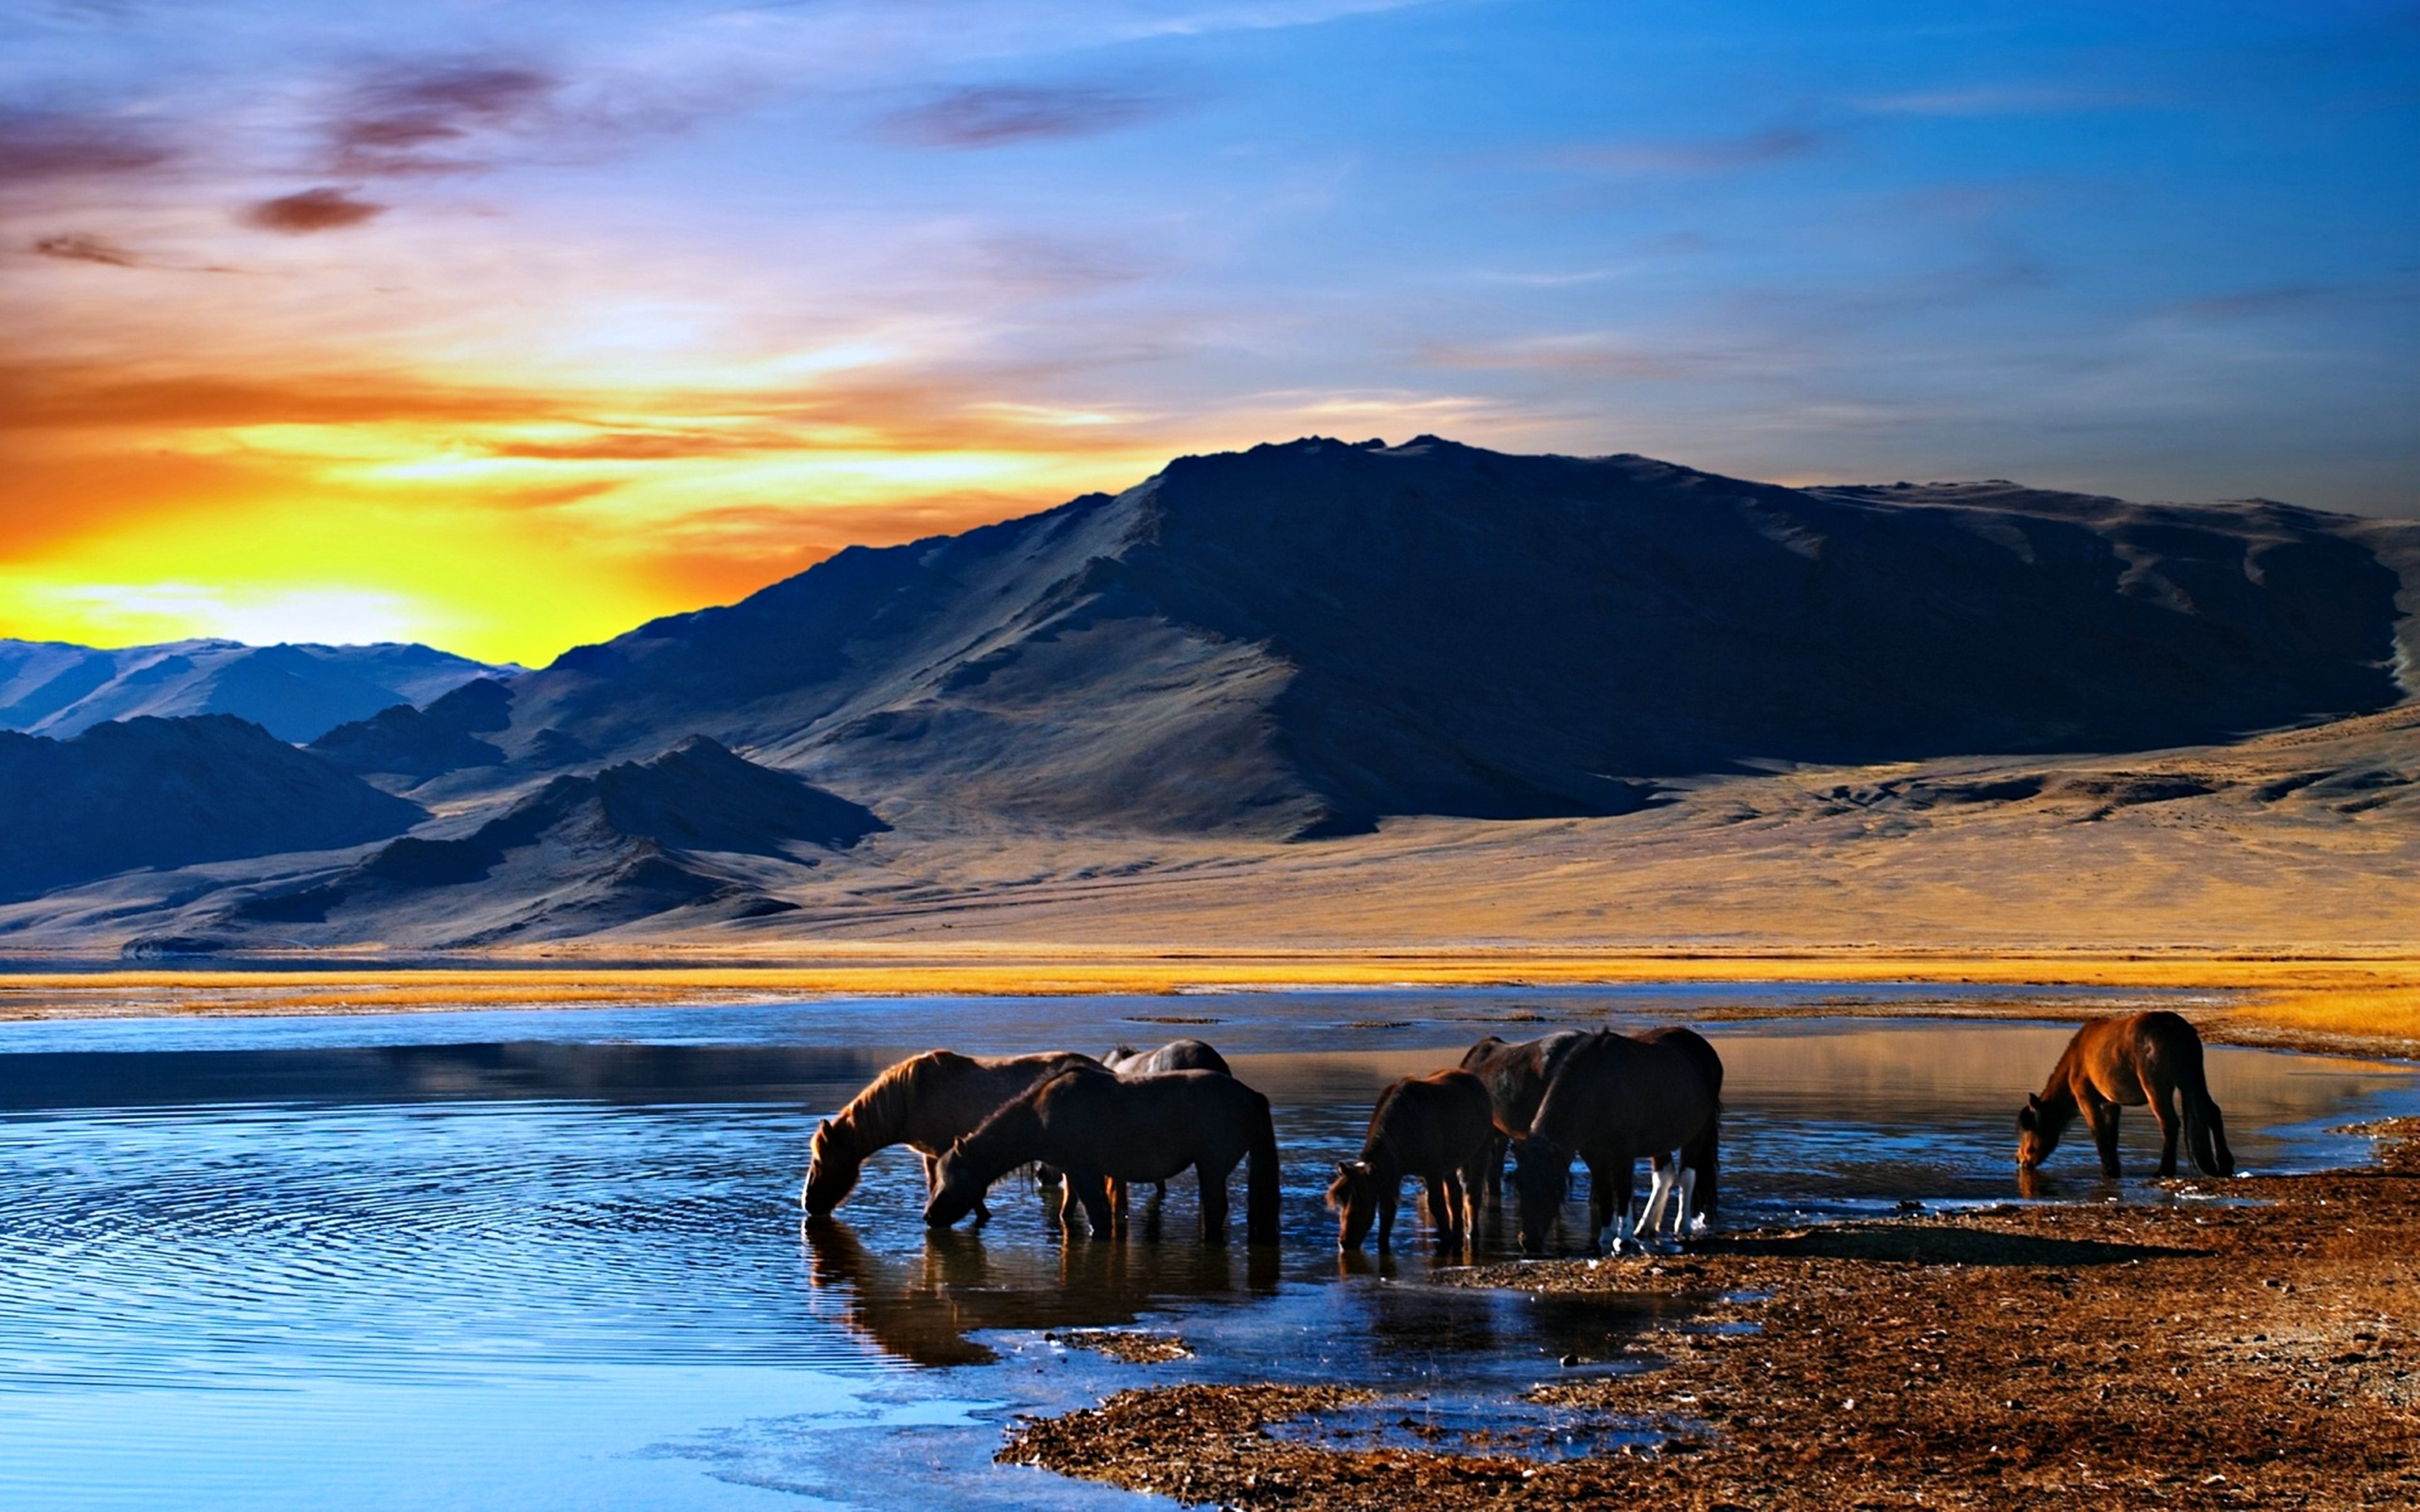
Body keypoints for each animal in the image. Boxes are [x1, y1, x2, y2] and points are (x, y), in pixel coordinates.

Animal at [802, 1050, 1100, 1220]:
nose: (808, 1204)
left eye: (819, 1161)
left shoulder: (946, 1152)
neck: (912, 1097)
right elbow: (937, 1186)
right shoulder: (933, 1155)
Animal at [925, 1066, 1281, 1246]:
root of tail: (1250, 1096)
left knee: (1217, 1209)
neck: (1040, 1116)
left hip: (1212, 1167)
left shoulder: (1083, 1172)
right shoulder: (1073, 1172)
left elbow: (1098, 1217)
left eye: (950, 1177)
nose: (929, 1216)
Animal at [1326, 1068, 1496, 1253]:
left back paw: (1472, 1232)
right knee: (1455, 1194)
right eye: (1341, 1199)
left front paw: (1445, 1238)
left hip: (1480, 1151)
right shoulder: (1391, 1174)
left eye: (1363, 1199)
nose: (1344, 1242)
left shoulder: (1432, 1171)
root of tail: (1475, 1079)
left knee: (1472, 1193)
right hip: (1451, 1164)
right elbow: (1387, 1213)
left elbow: (1437, 1205)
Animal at [1512, 1027, 1723, 1256]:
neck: (1600, 1088)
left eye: (1553, 1185)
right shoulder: (1593, 1154)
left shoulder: (1624, 1151)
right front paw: (1606, 1236)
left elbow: (1622, 1190)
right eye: (1520, 1185)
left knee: (1687, 1177)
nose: (1529, 1242)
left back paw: (1682, 1226)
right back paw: (1645, 1227)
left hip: (1698, 1135)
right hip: (1660, 1140)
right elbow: (1605, 1191)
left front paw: (1623, 1238)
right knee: (1664, 1176)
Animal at [2018, 1011, 2236, 1178]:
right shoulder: (2111, 1103)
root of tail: (2180, 1028)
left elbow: (2098, 1132)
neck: (2076, 1059)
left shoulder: (2086, 1100)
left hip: (2158, 1089)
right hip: (2193, 1082)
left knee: (2169, 1123)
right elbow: (2111, 1135)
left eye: (2030, 1128)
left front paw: (2108, 1170)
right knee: (2212, 1113)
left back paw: (2164, 1170)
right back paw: (2225, 1165)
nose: (2019, 1159)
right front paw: (2114, 1168)